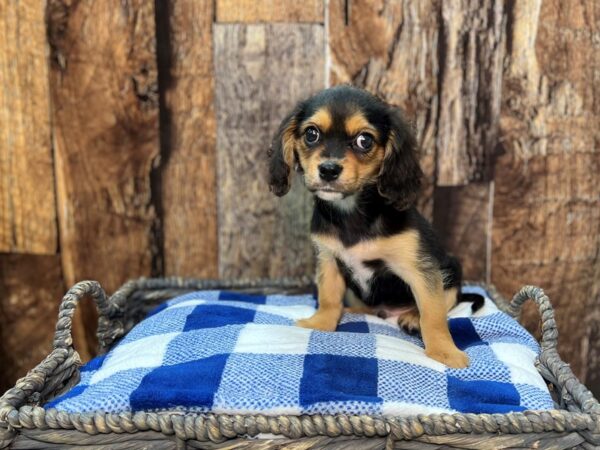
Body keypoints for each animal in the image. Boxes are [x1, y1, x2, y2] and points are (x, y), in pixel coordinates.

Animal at [268, 86, 474, 368]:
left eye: (364, 140)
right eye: (311, 134)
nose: (328, 170)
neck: (352, 213)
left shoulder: (421, 269)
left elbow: (433, 314)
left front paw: (444, 351)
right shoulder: (329, 259)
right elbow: (328, 297)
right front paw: (321, 323)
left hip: (452, 266)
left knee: (444, 300)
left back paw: (411, 317)